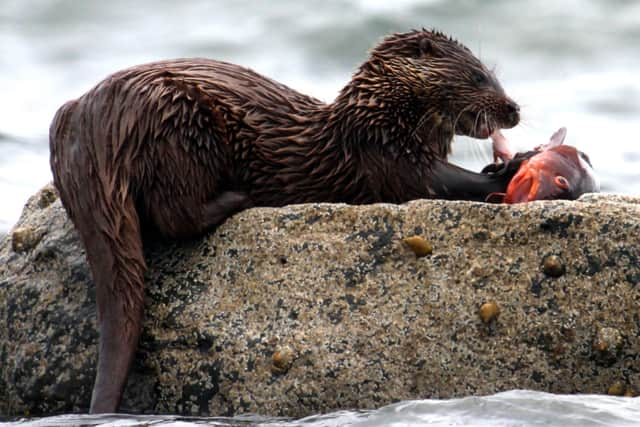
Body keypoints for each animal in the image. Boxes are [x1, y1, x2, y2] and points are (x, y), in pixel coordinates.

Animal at [48, 28, 520, 412]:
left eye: (494, 74)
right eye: (478, 77)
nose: (513, 109)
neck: (378, 114)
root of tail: (88, 120)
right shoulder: (382, 152)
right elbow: (433, 181)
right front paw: (509, 170)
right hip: (177, 124)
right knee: (176, 213)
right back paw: (241, 197)